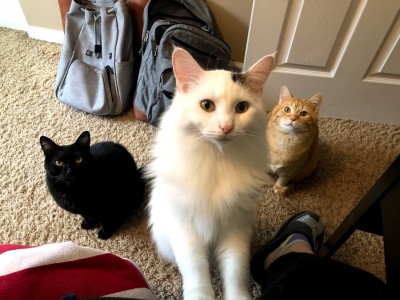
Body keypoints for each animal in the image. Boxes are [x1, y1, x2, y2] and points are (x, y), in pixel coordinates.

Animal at [145, 48, 276, 298]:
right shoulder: (185, 231)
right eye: (207, 106)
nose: (226, 127)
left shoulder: (235, 230)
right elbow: (197, 277)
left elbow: (236, 274)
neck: (217, 161)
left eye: (242, 108)